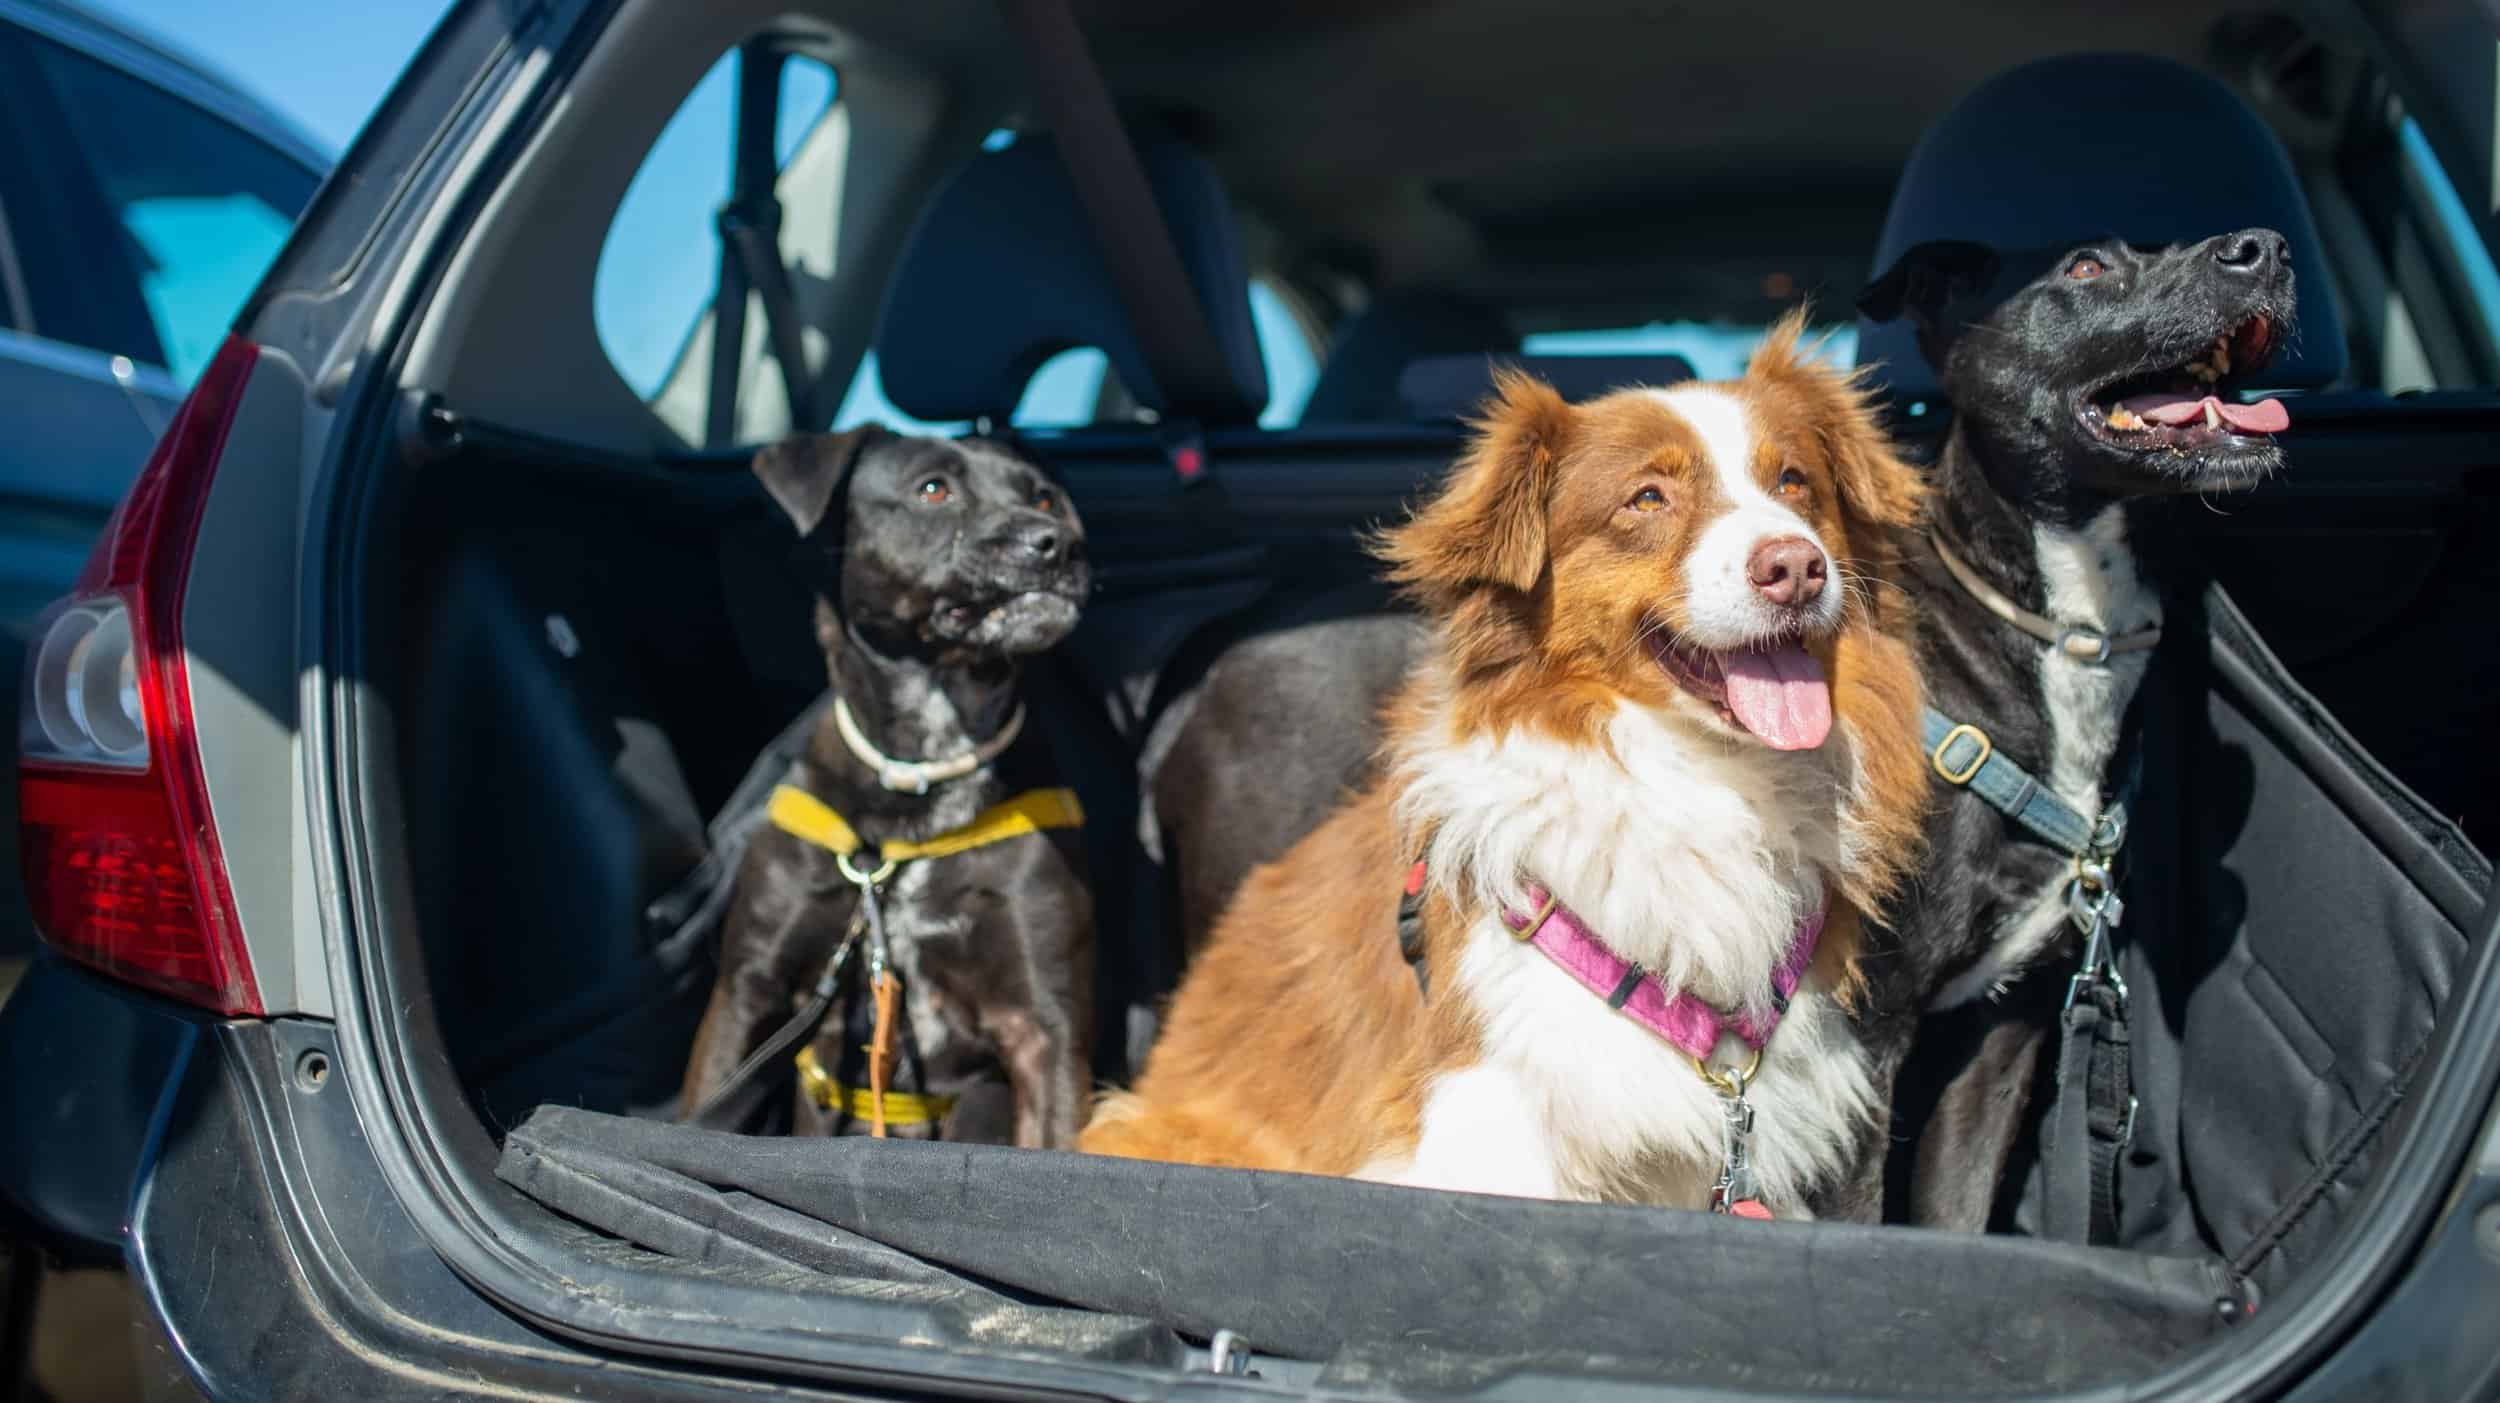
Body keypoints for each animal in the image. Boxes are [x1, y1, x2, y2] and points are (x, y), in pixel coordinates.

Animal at [675, 427, 1095, 1150]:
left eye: (1043, 496)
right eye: (933, 489)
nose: (1058, 542)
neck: (924, 772)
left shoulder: (1045, 1027)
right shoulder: (748, 990)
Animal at [1850, 227, 2290, 1225]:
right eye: (2087, 267)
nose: (2266, 247)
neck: (2072, 632)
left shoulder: (2008, 1025)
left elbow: (1957, 1215)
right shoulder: (1857, 1035)